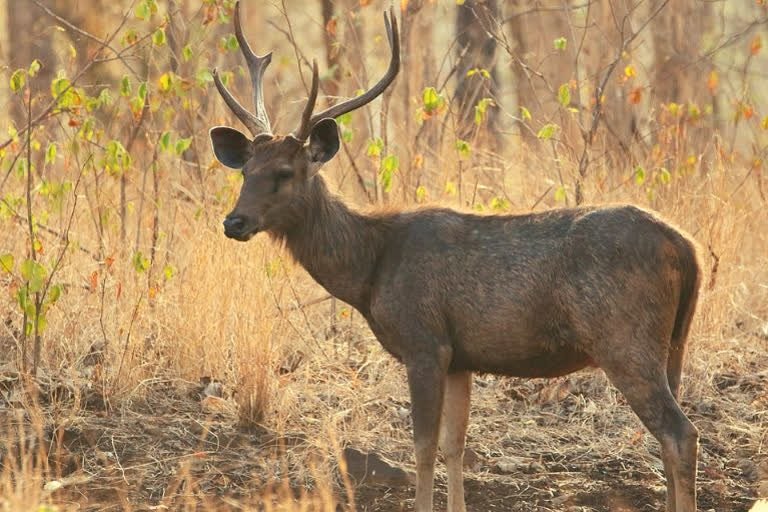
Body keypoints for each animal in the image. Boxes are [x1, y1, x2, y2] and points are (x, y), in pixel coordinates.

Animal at [208, 3, 704, 508]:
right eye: (246, 171)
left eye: (284, 173)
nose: (234, 222)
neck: (370, 270)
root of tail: (687, 248)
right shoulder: (461, 357)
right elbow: (455, 444)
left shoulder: (425, 341)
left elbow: (423, 445)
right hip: (674, 343)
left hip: (624, 338)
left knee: (681, 434)